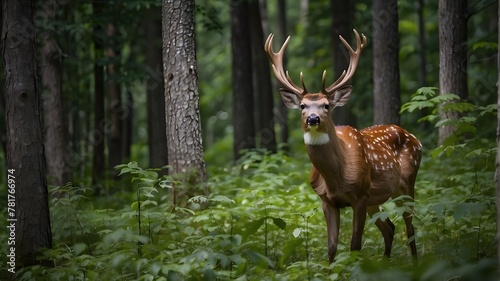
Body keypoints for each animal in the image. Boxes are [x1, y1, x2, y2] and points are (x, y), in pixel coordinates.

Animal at [266, 29, 422, 262]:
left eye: (326, 105)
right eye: (302, 105)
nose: (313, 119)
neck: (335, 178)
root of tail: (415, 138)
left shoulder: (360, 196)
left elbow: (355, 245)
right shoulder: (327, 200)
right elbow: (331, 248)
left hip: (407, 181)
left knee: (410, 226)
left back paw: (415, 263)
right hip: (376, 198)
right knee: (390, 228)